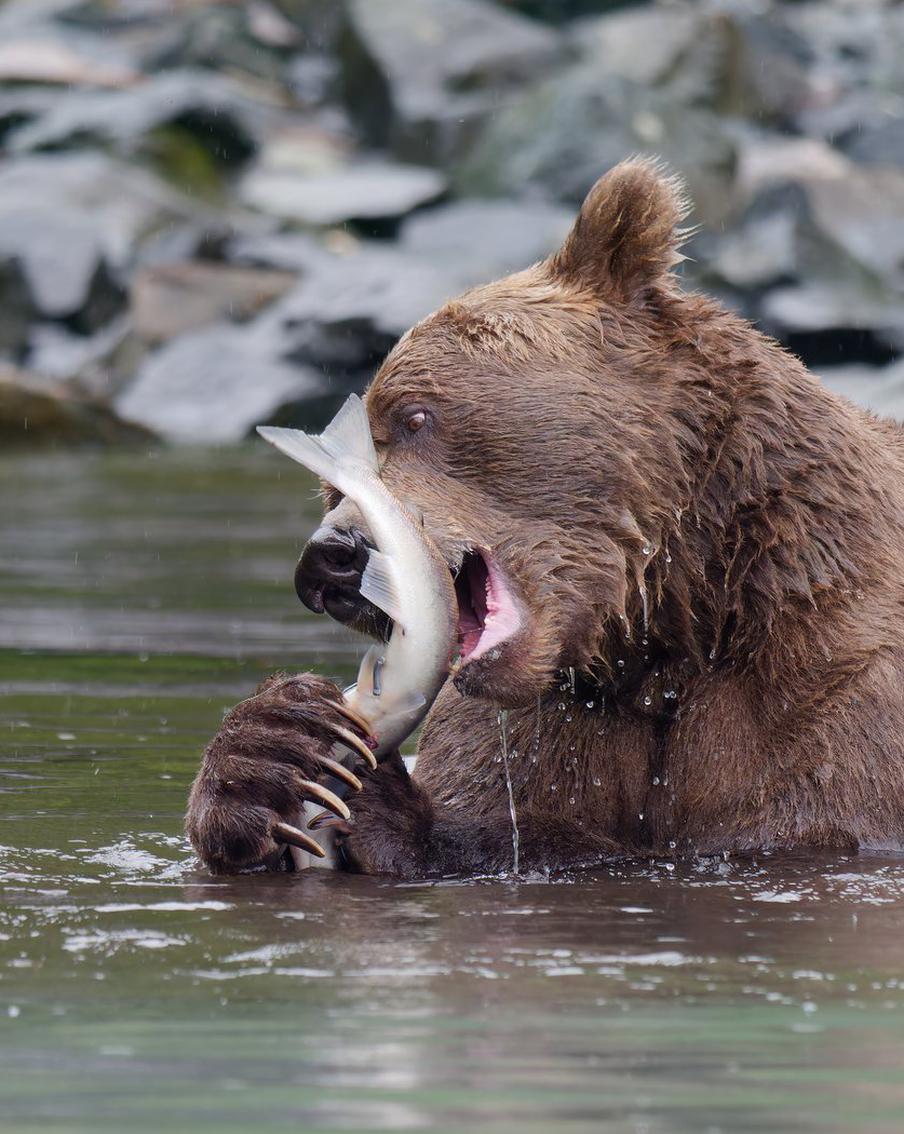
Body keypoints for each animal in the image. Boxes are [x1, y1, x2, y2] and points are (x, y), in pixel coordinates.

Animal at [186, 157, 904, 877]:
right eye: (330, 485)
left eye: (414, 415)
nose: (331, 557)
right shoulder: (546, 721)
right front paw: (275, 748)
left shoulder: (834, 683)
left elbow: (790, 824)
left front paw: (386, 809)